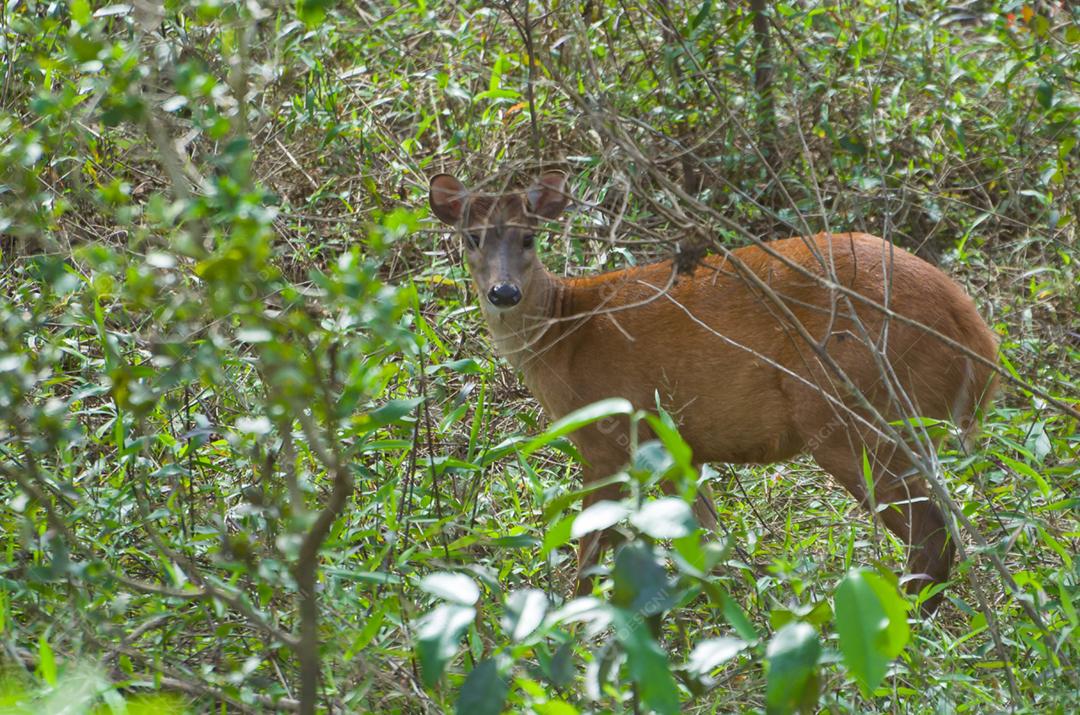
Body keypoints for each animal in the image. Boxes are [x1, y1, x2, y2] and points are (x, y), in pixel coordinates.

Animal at [428, 170, 999, 612]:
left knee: (931, 537)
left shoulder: (609, 436)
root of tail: (977, 337)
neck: (564, 335)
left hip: (855, 416)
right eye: (471, 238)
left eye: (528, 237)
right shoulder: (678, 445)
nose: (504, 292)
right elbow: (707, 537)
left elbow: (591, 548)